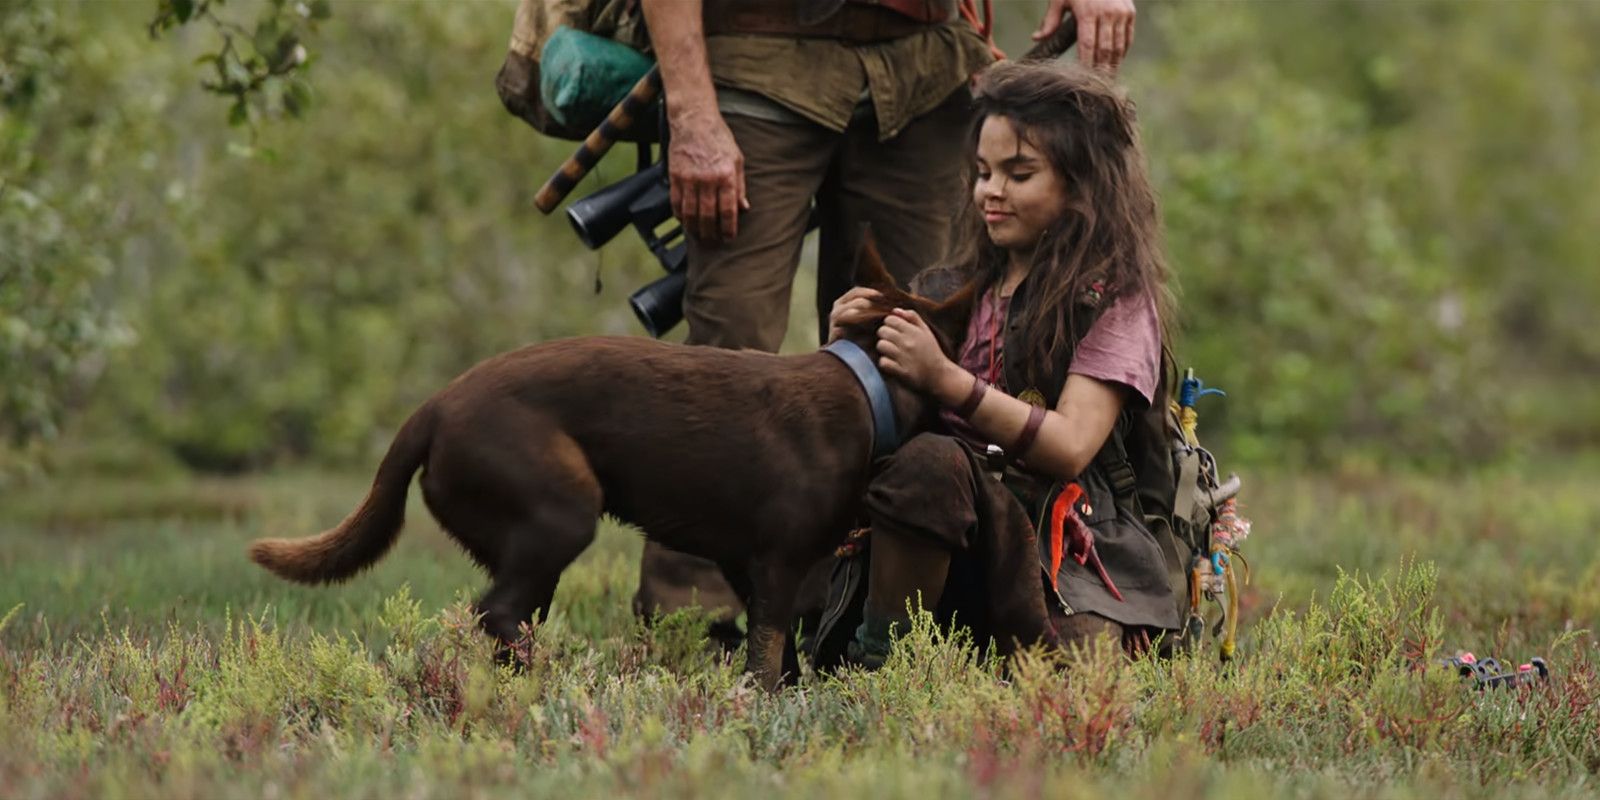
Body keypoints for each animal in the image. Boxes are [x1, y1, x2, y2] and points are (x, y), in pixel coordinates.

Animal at [248, 241, 966, 688]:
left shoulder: (745, 563)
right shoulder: (779, 562)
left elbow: (779, 651)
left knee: (505, 617)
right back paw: (547, 681)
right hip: (561, 511)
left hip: (525, 545)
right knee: (494, 610)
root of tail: (432, 409)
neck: (866, 384)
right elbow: (766, 655)